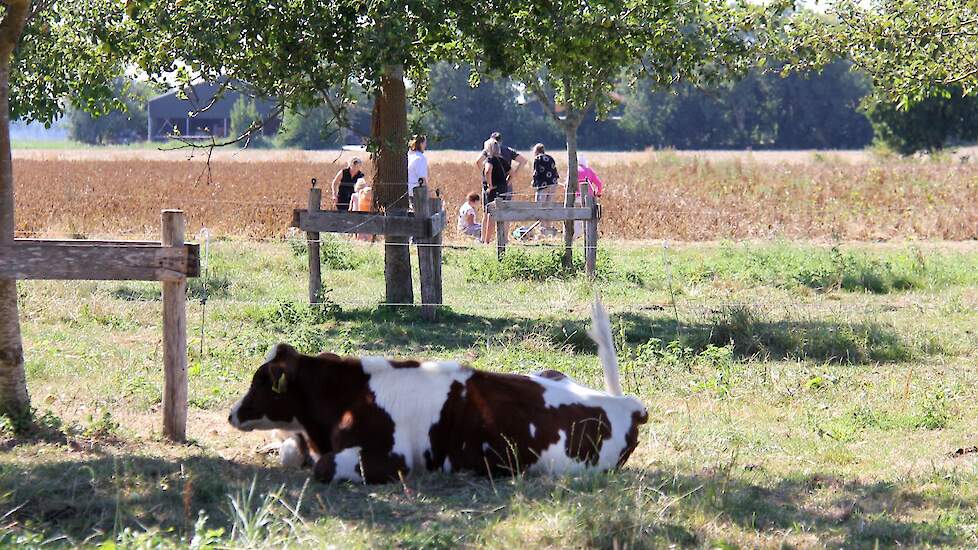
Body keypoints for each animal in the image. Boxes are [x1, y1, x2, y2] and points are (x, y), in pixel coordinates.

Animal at [225, 300, 644, 486]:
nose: (232, 413)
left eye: (260, 381)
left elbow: (323, 467)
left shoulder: (389, 459)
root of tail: (628, 405)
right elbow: (292, 451)